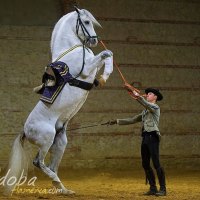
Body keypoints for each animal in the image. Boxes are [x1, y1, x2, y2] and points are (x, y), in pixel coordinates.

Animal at [3, 7, 112, 195]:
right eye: (87, 22)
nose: (93, 41)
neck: (72, 49)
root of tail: (25, 131)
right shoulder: (87, 68)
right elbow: (106, 54)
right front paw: (105, 77)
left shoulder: (93, 67)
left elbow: (107, 56)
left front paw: (104, 77)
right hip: (47, 138)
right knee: (39, 162)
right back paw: (57, 182)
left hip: (60, 142)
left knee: (52, 166)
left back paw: (63, 189)